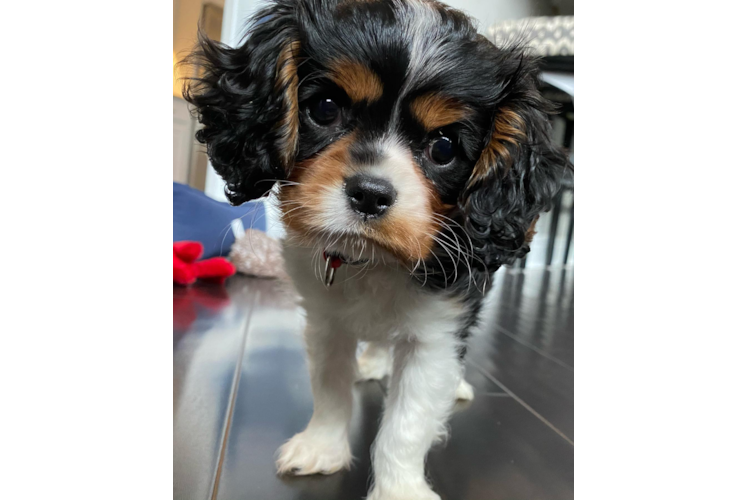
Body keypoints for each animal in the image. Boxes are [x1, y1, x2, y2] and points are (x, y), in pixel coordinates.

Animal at [186, 1, 568, 498]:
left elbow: (406, 425)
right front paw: (323, 446)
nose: (370, 194)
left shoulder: (436, 335)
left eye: (444, 148)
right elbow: (330, 389)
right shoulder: (326, 321)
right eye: (325, 109)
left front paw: (399, 488)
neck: (374, 262)